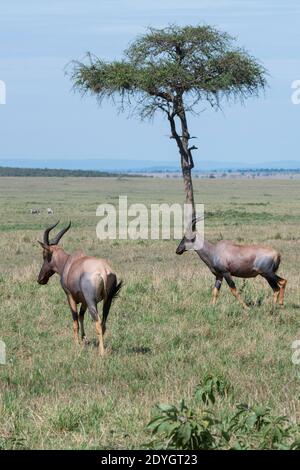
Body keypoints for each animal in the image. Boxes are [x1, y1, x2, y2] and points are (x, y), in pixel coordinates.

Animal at [37, 222, 122, 354]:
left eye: (44, 255)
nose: (40, 279)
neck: (70, 262)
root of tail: (103, 271)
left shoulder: (70, 296)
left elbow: (75, 319)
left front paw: (76, 344)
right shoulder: (84, 300)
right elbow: (81, 316)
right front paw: (84, 339)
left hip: (92, 302)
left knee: (97, 322)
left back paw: (101, 353)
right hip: (107, 301)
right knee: (103, 323)